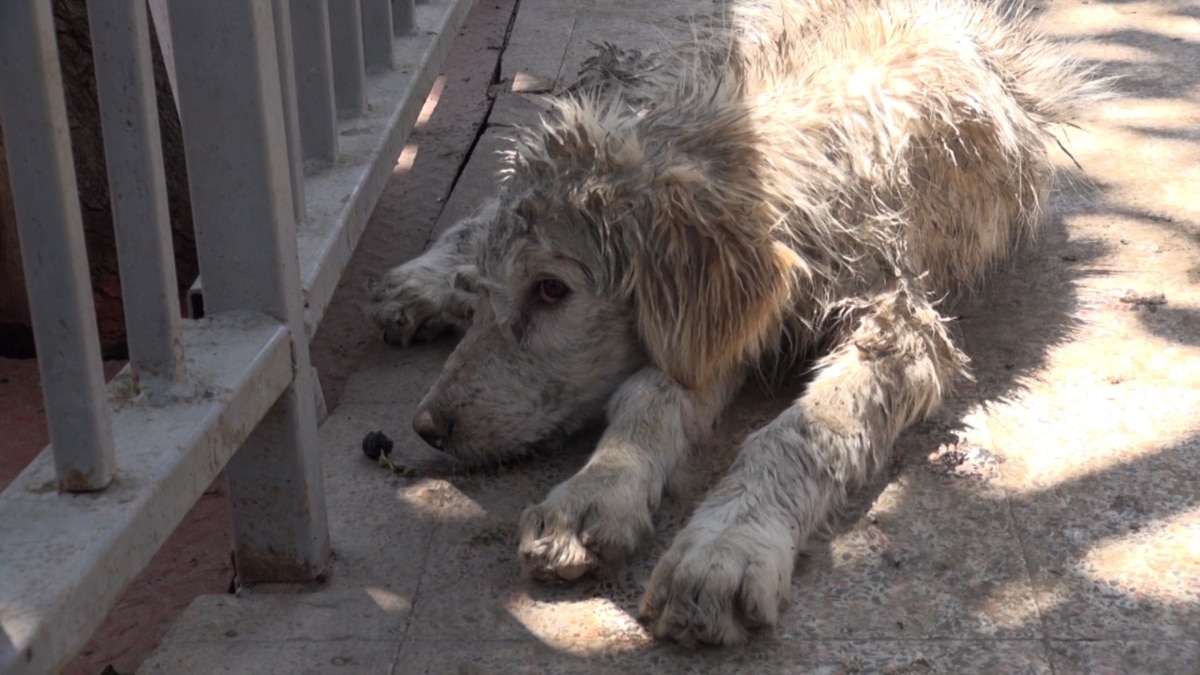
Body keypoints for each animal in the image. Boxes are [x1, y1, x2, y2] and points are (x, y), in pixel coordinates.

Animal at [364, 0, 1099, 643]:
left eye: (551, 290)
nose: (426, 427)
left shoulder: (894, 327)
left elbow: (797, 434)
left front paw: (723, 549)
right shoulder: (717, 328)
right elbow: (648, 397)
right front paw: (594, 494)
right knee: (487, 205)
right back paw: (423, 282)